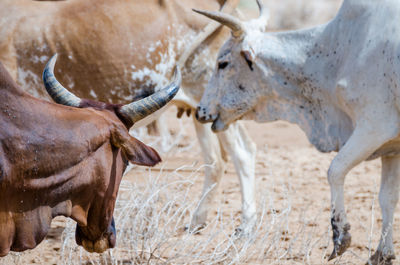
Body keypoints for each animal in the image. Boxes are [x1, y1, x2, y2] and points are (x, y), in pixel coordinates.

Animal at [0, 0, 258, 235]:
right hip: (204, 114)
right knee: (217, 161)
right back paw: (198, 221)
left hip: (220, 108)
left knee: (242, 155)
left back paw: (246, 225)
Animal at [195, 0, 400, 262]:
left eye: (222, 63)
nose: (200, 111)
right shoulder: (391, 148)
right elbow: (388, 197)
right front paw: (383, 254)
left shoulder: (374, 126)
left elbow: (334, 171)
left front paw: (340, 237)